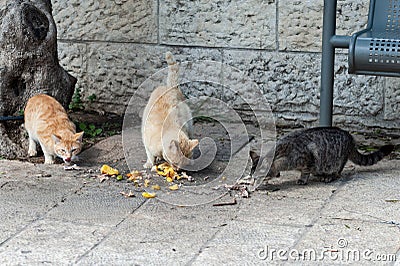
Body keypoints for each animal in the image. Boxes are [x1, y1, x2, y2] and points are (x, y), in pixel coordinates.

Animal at [250, 127, 394, 185]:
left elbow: (305, 172)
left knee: (337, 173)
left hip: (336, 163)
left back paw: (328, 177)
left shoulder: (307, 160)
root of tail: (350, 138)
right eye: (251, 175)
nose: (253, 181)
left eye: (257, 176)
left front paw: (302, 180)